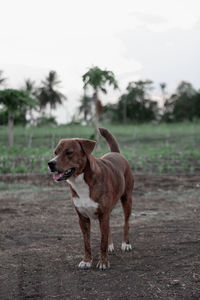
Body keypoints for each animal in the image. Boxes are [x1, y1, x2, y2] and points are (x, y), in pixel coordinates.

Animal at [47, 127, 134, 270]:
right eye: (55, 152)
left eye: (69, 152)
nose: (50, 163)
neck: (81, 181)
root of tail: (116, 153)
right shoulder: (82, 217)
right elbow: (86, 242)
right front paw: (87, 261)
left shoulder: (103, 214)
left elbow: (102, 241)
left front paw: (103, 262)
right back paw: (111, 246)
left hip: (127, 199)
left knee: (126, 223)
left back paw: (126, 244)